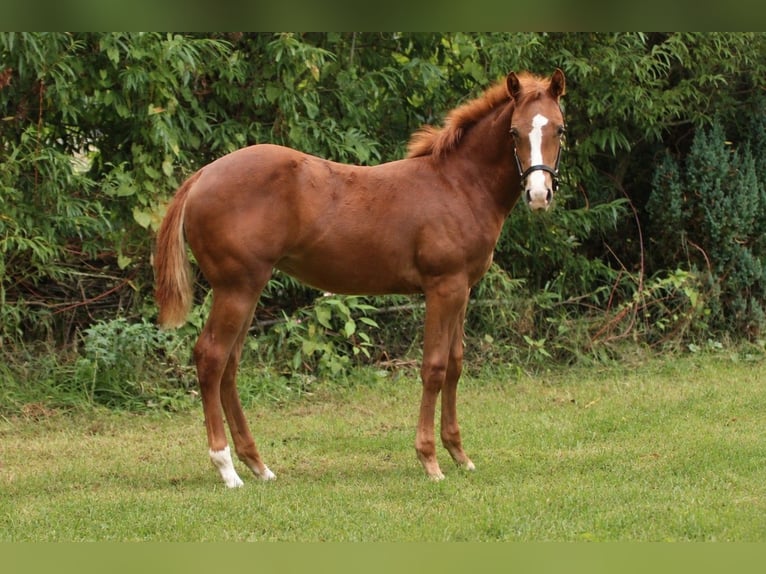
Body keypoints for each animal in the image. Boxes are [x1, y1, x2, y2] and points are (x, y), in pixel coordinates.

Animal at [154, 68, 566, 487]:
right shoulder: (443, 287)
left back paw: (258, 465)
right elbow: (434, 368)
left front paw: (459, 455)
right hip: (235, 289)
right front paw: (430, 460)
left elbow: (455, 364)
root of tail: (202, 175)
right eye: (514, 131)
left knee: (230, 366)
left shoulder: (463, 289)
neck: (458, 185)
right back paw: (227, 469)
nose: (538, 195)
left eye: (560, 129)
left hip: (248, 289)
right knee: (211, 358)